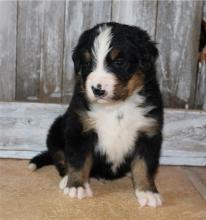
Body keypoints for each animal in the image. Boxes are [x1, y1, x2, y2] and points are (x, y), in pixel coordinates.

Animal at [29, 22, 164, 208]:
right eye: (87, 63)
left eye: (119, 62)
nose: (97, 89)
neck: (116, 107)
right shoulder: (79, 128)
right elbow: (78, 160)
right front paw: (76, 186)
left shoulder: (148, 133)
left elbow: (144, 166)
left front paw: (147, 192)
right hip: (56, 130)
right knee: (60, 158)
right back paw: (67, 179)